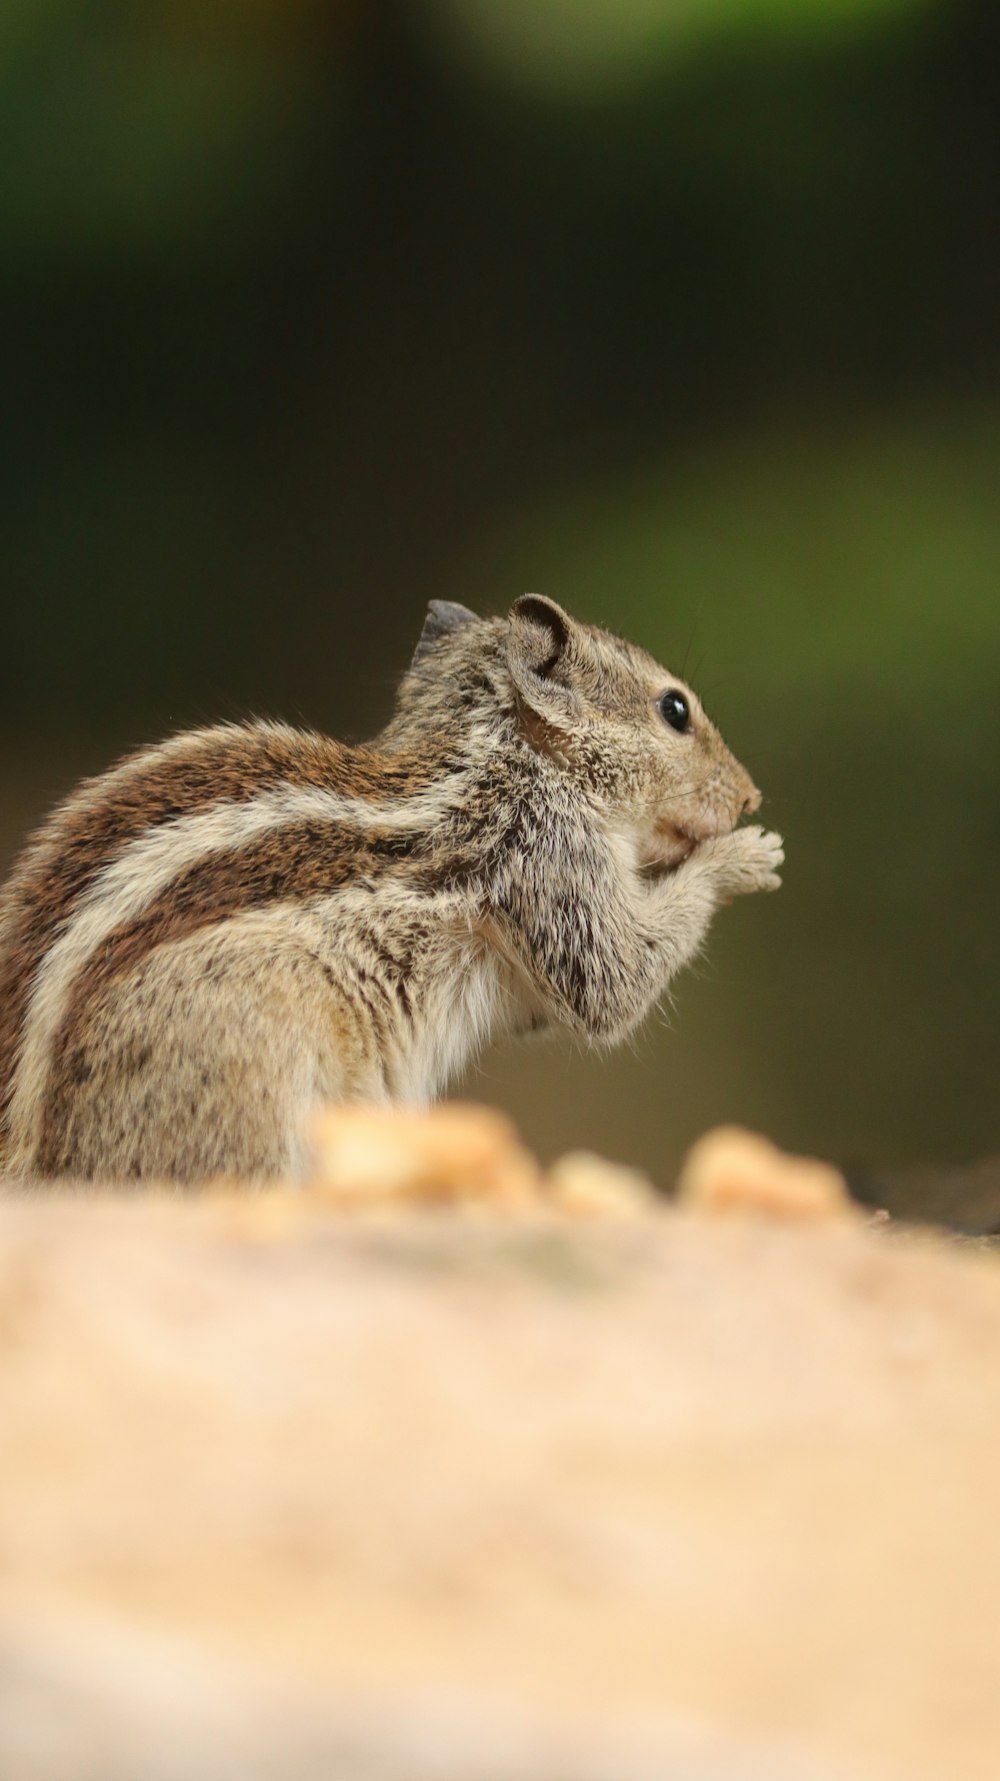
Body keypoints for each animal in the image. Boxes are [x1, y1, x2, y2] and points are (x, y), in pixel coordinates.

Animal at [0, 591, 780, 1189]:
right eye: (674, 710)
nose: (750, 794)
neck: (504, 758)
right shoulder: (551, 859)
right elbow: (614, 982)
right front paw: (743, 856)